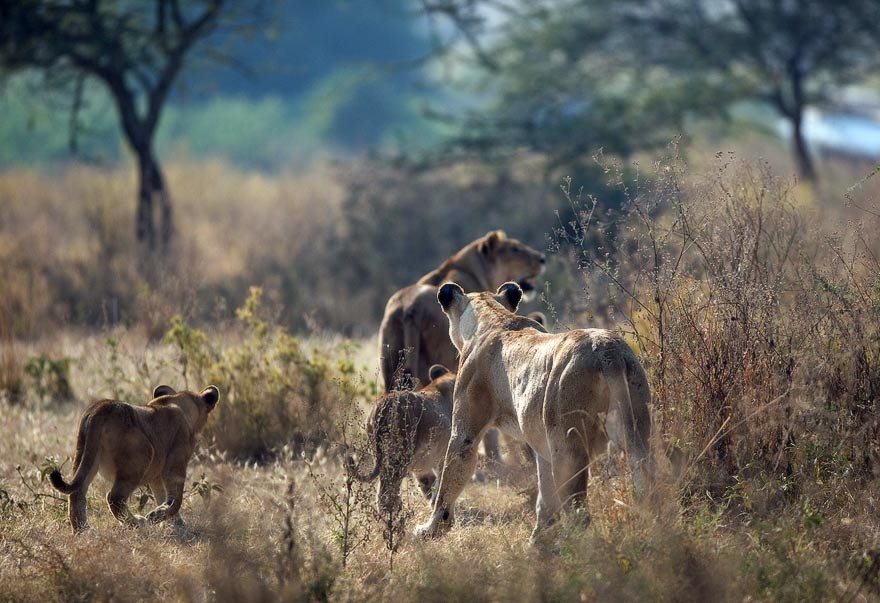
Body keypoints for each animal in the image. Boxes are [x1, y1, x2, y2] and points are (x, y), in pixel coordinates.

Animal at [49, 386, 220, 532]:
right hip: (142, 455)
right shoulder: (175, 464)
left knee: (77, 493)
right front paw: (158, 518)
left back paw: (83, 531)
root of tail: (103, 407)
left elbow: (162, 496)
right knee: (114, 497)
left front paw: (173, 523)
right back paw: (137, 522)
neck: (177, 402)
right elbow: (175, 499)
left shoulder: (157, 475)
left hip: (85, 455)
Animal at [346, 364, 454, 520]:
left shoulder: (426, 466)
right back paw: (397, 518)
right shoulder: (445, 455)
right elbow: (442, 485)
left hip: (383, 457)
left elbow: (430, 484)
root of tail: (383, 404)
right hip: (400, 458)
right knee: (387, 493)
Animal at [414, 284, 652, 544]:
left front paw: (430, 530)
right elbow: (545, 495)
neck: (492, 315)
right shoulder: (542, 445)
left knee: (579, 512)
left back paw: (569, 547)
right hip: (636, 432)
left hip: (568, 446)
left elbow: (447, 483)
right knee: (651, 486)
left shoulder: (465, 433)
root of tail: (606, 350)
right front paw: (538, 540)